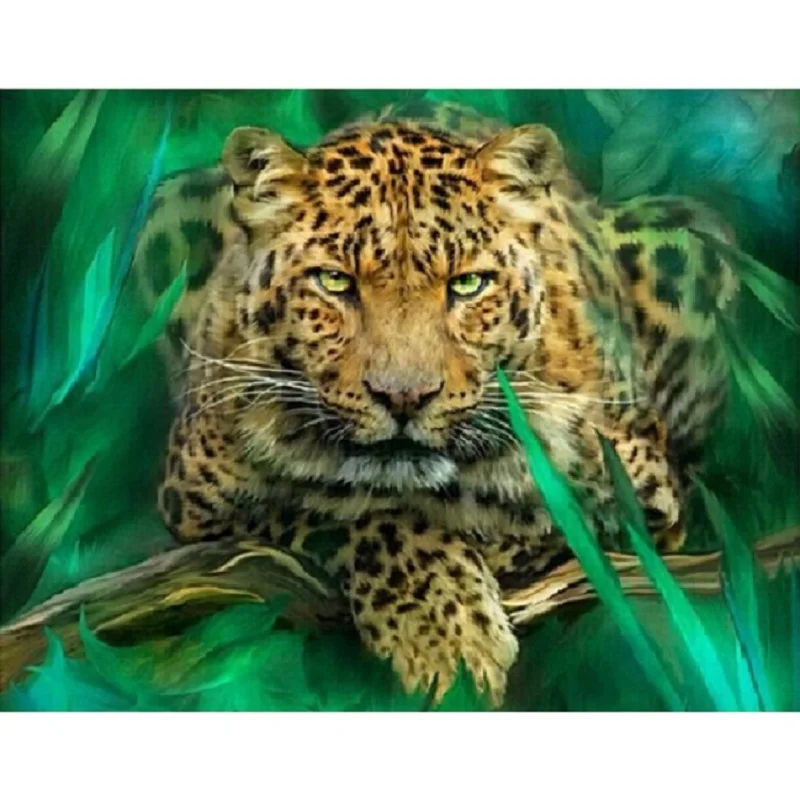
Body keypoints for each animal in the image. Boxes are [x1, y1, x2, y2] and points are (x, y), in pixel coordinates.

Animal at [133, 103, 739, 707]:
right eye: (334, 282)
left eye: (468, 285)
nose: (404, 397)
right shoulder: (195, 504)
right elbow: (348, 510)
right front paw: (441, 632)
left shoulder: (645, 491)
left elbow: (557, 521)